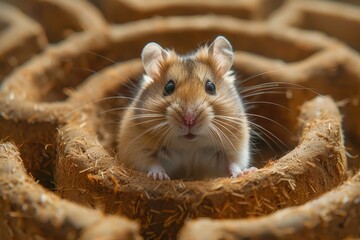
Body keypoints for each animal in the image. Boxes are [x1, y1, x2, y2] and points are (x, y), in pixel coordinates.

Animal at [117, 36, 256, 180]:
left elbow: (233, 163)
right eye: (168, 87)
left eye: (211, 87)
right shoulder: (137, 150)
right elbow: (151, 163)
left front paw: (246, 172)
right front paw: (160, 176)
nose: (189, 120)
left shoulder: (236, 149)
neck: (190, 144)